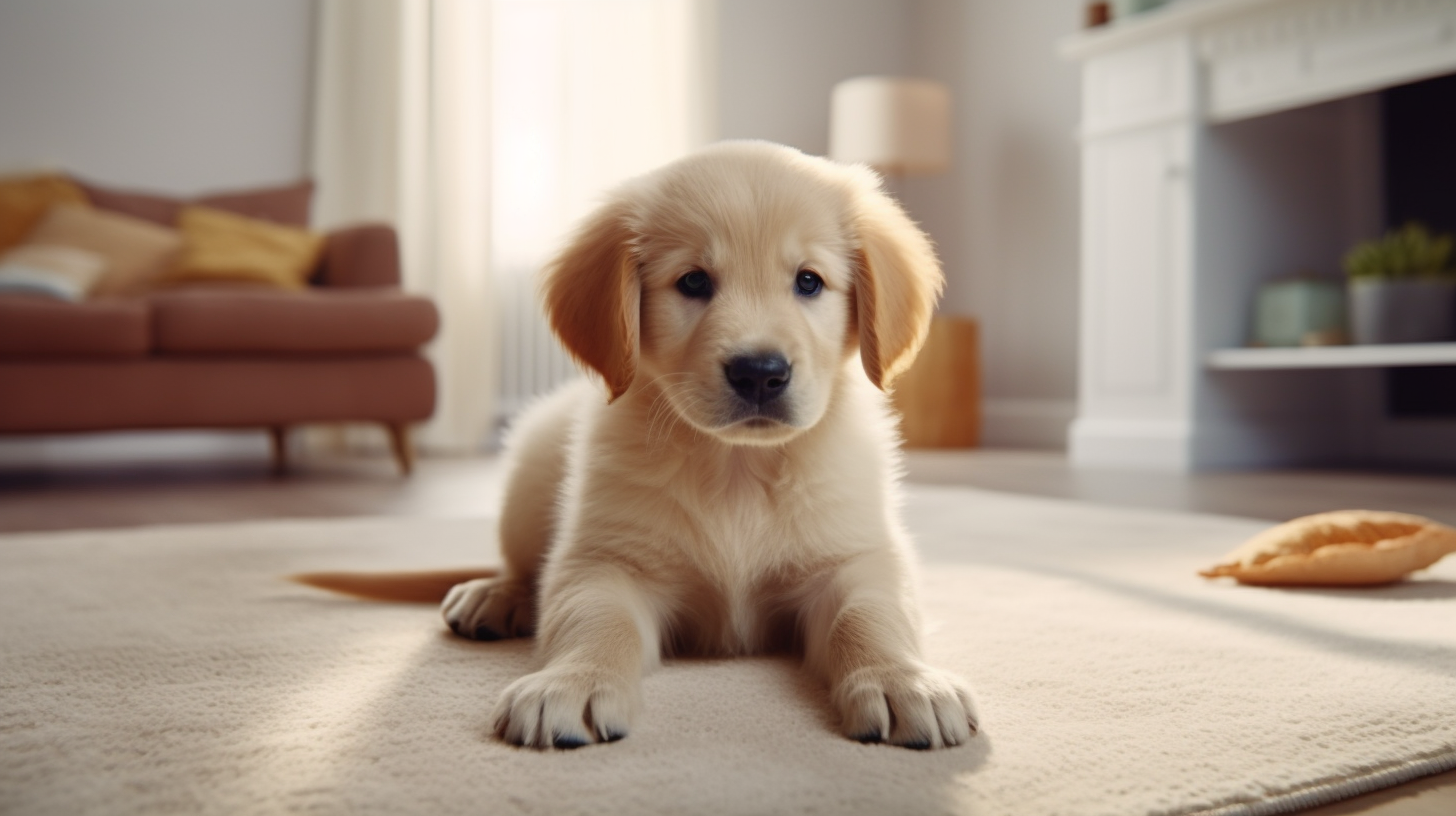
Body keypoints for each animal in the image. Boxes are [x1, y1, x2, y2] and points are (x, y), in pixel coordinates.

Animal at [439, 138, 978, 746]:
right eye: (693, 282)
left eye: (809, 281)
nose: (759, 373)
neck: (737, 465)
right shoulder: (606, 560)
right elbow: (595, 619)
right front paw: (572, 682)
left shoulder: (854, 556)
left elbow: (869, 615)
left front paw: (901, 680)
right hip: (530, 469)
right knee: (522, 563)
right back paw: (494, 594)